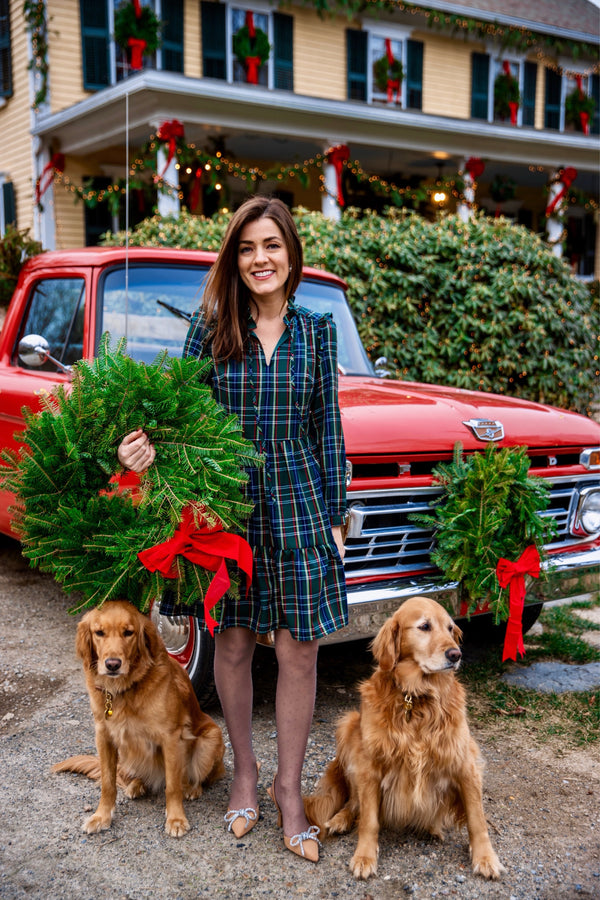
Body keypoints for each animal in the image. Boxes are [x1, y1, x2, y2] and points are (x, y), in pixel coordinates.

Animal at [53, 600, 225, 840]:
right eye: (99, 633)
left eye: (129, 633)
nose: (113, 664)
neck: (123, 689)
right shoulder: (103, 736)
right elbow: (108, 783)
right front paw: (101, 817)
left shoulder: (171, 738)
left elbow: (173, 787)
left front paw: (176, 819)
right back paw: (136, 784)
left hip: (211, 738)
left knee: (196, 778)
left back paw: (192, 788)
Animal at [304, 596, 506, 880]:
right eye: (424, 626)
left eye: (450, 628)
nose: (456, 654)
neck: (416, 698)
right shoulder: (370, 765)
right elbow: (369, 820)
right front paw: (364, 856)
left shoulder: (465, 762)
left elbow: (477, 819)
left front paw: (486, 858)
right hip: (349, 726)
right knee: (354, 802)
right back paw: (340, 819)